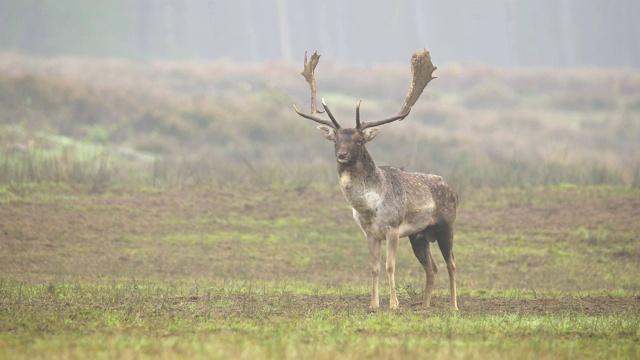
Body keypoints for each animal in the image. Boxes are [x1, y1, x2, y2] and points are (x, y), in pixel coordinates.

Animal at [292, 50, 458, 310]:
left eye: (359, 140)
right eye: (335, 140)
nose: (342, 154)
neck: (370, 206)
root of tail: (453, 191)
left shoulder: (392, 228)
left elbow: (390, 266)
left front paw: (394, 304)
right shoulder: (369, 233)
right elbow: (374, 268)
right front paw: (373, 304)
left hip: (446, 225)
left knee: (451, 263)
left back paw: (453, 306)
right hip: (419, 235)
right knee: (432, 268)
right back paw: (424, 306)